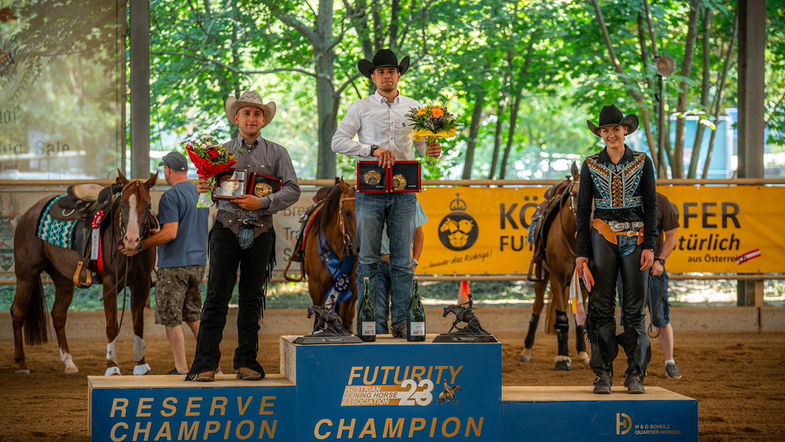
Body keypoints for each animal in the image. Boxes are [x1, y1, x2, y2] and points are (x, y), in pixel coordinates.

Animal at [12, 171, 158, 374]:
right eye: (122, 205)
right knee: (18, 312)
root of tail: (28, 214)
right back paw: (21, 364)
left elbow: (138, 324)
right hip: (26, 274)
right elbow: (112, 325)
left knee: (58, 316)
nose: (131, 240)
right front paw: (112, 367)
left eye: (148, 206)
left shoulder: (141, 284)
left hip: (63, 279)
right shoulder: (110, 284)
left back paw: (69, 362)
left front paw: (141, 366)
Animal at [304, 179, 358, 328]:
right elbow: (318, 318)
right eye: (347, 212)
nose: (357, 247)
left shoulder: (348, 286)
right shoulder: (315, 286)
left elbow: (344, 319)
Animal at [516, 162, 584, 370]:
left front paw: (584, 354)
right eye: (574, 194)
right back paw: (526, 351)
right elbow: (562, 318)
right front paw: (562, 358)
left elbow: (581, 318)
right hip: (542, 274)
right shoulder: (556, 276)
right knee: (537, 306)